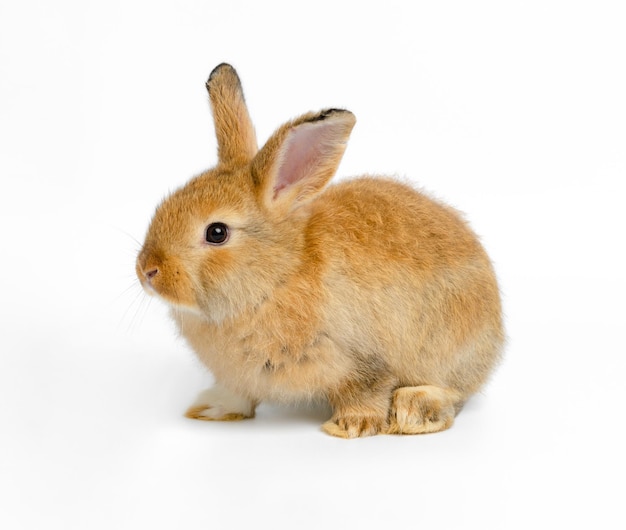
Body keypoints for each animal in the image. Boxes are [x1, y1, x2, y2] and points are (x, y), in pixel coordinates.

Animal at [135, 63, 502, 438]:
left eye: (217, 233)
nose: (147, 270)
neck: (276, 279)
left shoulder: (362, 357)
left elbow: (367, 389)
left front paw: (350, 425)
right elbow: (238, 394)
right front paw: (211, 409)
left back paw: (414, 411)